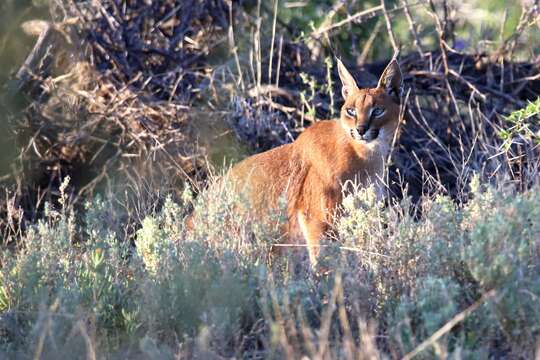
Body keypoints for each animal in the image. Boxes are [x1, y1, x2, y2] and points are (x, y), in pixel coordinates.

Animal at [197, 57, 400, 266]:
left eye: (377, 111)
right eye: (351, 111)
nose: (360, 130)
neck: (366, 155)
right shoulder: (317, 217)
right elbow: (324, 259)